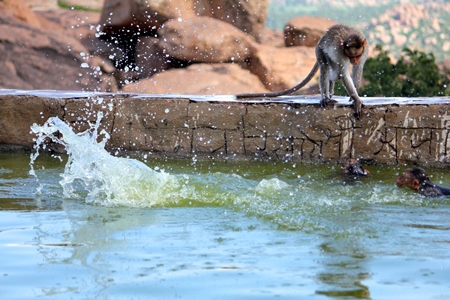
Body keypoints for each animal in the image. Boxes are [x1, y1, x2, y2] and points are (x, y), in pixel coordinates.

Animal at [236, 24, 370, 119]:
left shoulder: (365, 49)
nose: (354, 61)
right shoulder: (341, 54)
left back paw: (330, 92)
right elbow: (343, 73)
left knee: (334, 74)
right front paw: (356, 100)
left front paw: (354, 96)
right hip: (320, 51)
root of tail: (321, 40)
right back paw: (326, 97)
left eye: (357, 55)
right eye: (351, 56)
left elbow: (358, 69)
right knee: (326, 68)